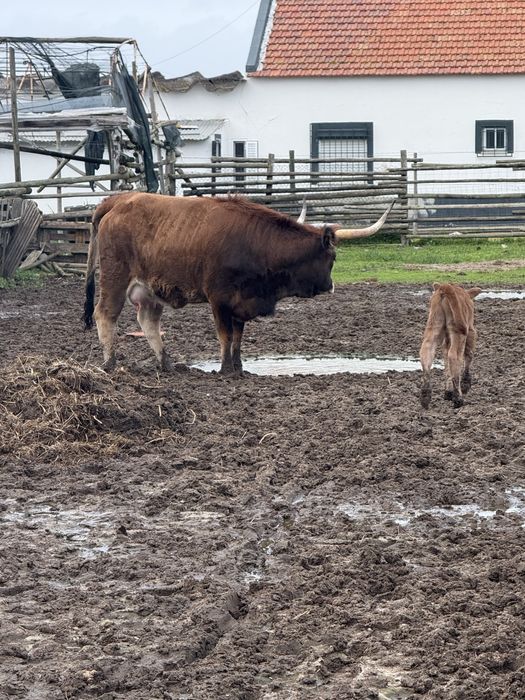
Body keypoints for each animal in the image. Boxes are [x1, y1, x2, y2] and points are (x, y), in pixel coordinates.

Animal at [83, 192, 394, 375]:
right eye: (333, 257)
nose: (331, 285)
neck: (255, 243)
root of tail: (120, 200)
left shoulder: (242, 302)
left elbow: (238, 337)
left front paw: (239, 366)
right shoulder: (219, 299)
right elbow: (225, 335)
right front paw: (224, 369)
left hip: (149, 290)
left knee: (148, 322)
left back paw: (166, 364)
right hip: (115, 278)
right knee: (105, 314)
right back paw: (110, 363)